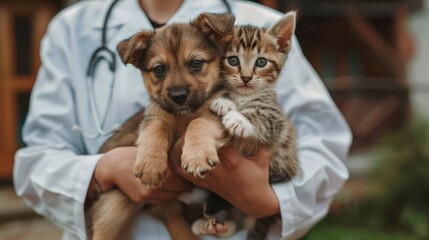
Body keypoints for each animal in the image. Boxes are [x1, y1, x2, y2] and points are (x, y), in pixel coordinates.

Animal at [91, 13, 234, 240]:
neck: (183, 116)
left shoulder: (215, 113)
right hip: (113, 207)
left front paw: (197, 156)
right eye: (159, 69)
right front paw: (150, 164)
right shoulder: (153, 116)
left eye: (196, 63)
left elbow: (199, 122)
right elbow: (155, 128)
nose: (178, 96)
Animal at [194, 11, 298, 240]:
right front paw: (224, 102)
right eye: (233, 60)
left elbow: (260, 116)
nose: (246, 77)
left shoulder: (275, 117)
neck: (245, 95)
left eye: (261, 62)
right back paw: (210, 224)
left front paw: (238, 119)